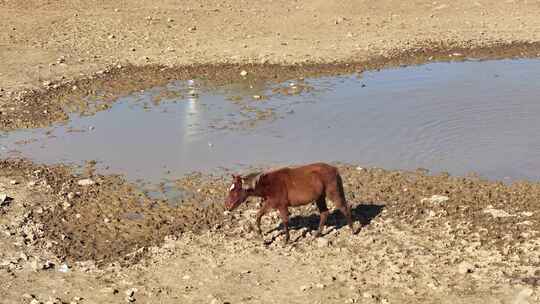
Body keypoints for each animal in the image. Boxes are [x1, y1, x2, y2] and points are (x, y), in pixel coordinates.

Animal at [224, 163, 354, 243]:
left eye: (235, 190)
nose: (227, 206)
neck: (269, 185)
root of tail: (335, 170)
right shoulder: (270, 203)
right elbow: (258, 215)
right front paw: (260, 233)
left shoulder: (281, 206)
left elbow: (285, 221)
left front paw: (286, 240)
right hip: (320, 197)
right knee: (324, 213)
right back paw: (317, 234)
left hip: (333, 193)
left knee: (344, 208)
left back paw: (352, 231)